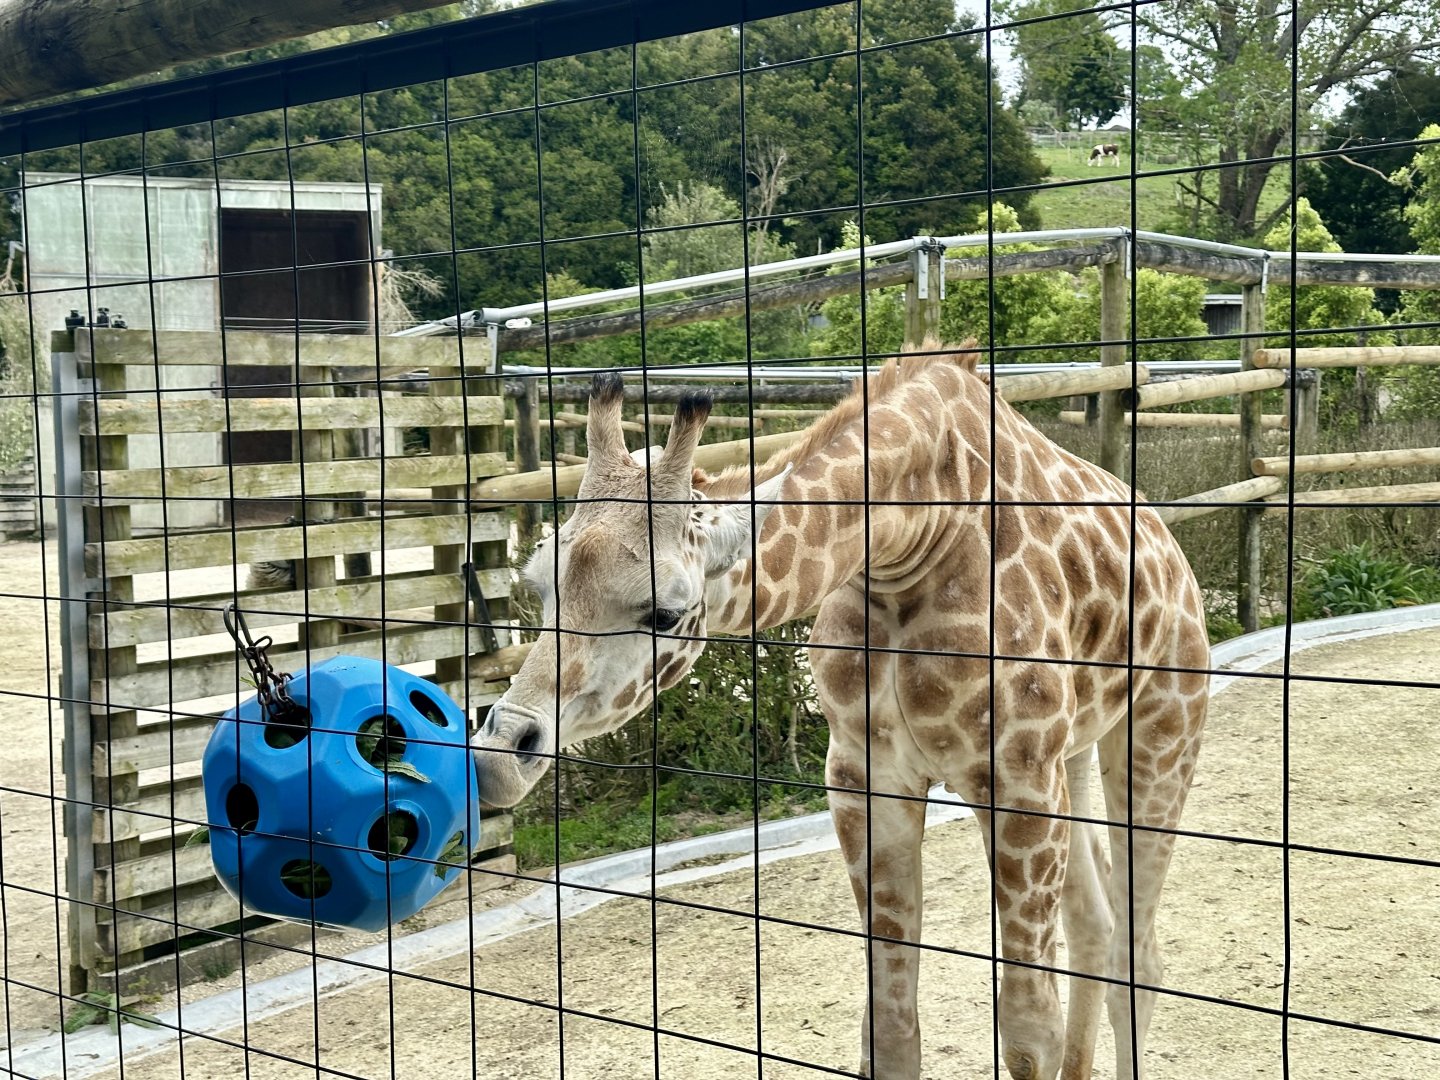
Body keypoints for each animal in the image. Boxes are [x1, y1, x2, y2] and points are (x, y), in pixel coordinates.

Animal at [472, 342, 1210, 1080]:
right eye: (537, 585)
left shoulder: (1018, 778)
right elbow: (888, 1030)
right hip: (1077, 753)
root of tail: (1173, 552)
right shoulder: (864, 775)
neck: (909, 539)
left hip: (1159, 734)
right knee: (1098, 931)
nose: (497, 756)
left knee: (1138, 956)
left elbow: (1028, 1030)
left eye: (665, 612)